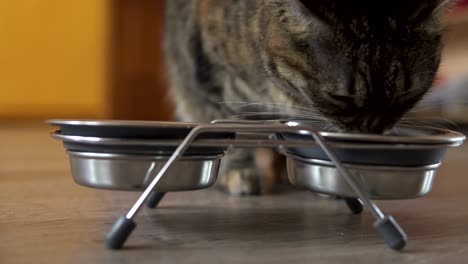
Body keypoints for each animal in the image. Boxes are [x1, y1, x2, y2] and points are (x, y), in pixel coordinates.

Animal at [165, 0, 454, 194]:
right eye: (339, 96)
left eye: (406, 94)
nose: (372, 128)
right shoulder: (212, 82)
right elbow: (226, 134)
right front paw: (240, 173)